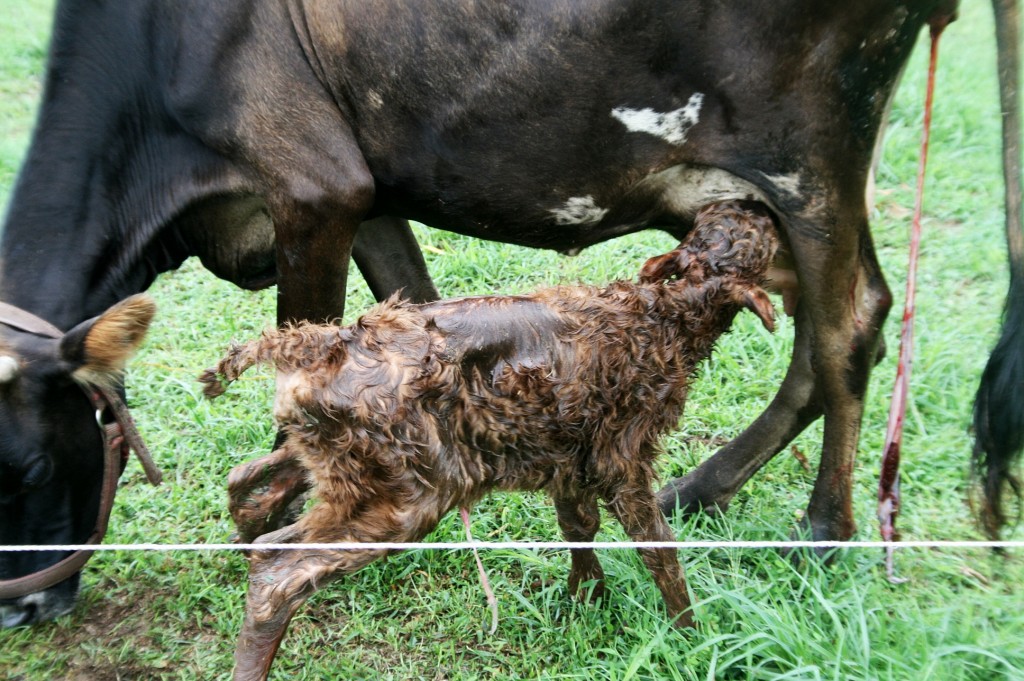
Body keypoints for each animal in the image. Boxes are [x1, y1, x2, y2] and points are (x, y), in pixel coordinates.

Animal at [199, 199, 774, 675]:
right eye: (758, 236)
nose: (758, 206)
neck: (663, 315)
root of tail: (315, 344)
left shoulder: (566, 450)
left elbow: (578, 523)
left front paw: (585, 598)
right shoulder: (622, 451)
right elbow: (658, 547)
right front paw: (691, 636)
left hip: (335, 457)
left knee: (246, 482)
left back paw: (243, 537)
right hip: (403, 492)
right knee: (277, 576)